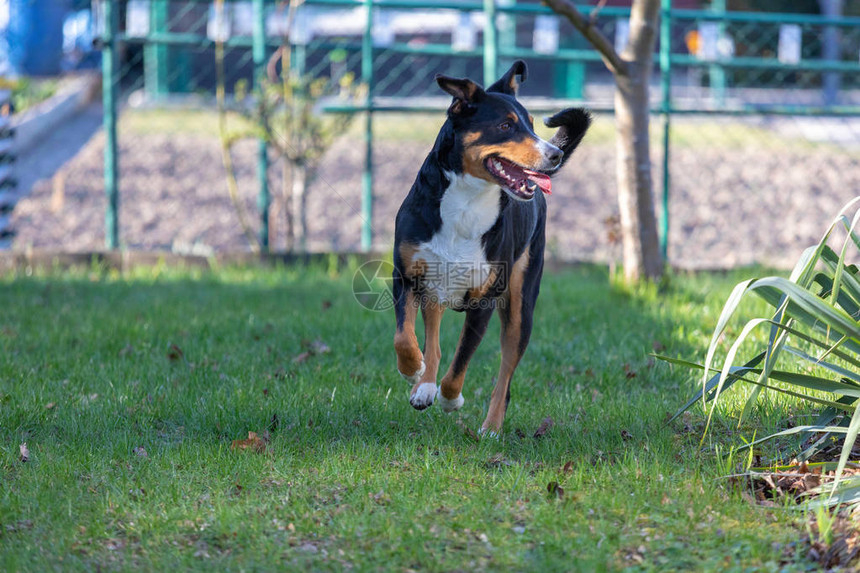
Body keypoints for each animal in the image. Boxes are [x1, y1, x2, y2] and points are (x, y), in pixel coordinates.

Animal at [392, 60, 588, 434]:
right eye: (506, 125)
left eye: (530, 123)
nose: (554, 153)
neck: (466, 204)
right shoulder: (406, 276)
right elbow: (406, 339)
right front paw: (414, 373)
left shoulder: (484, 300)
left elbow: (459, 366)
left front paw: (451, 400)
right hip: (437, 290)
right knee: (434, 341)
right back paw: (424, 386)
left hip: (521, 308)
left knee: (505, 377)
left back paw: (491, 427)